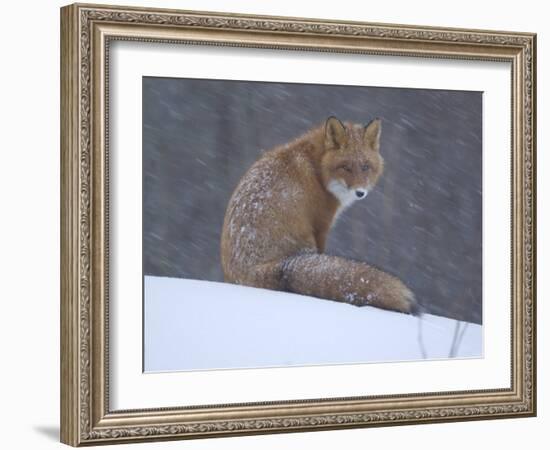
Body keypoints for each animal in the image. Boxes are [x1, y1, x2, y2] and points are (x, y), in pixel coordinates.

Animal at [220, 116, 418, 312]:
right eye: (345, 167)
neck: (318, 169)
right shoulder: (321, 224)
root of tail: (250, 272)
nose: (360, 193)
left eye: (365, 167)